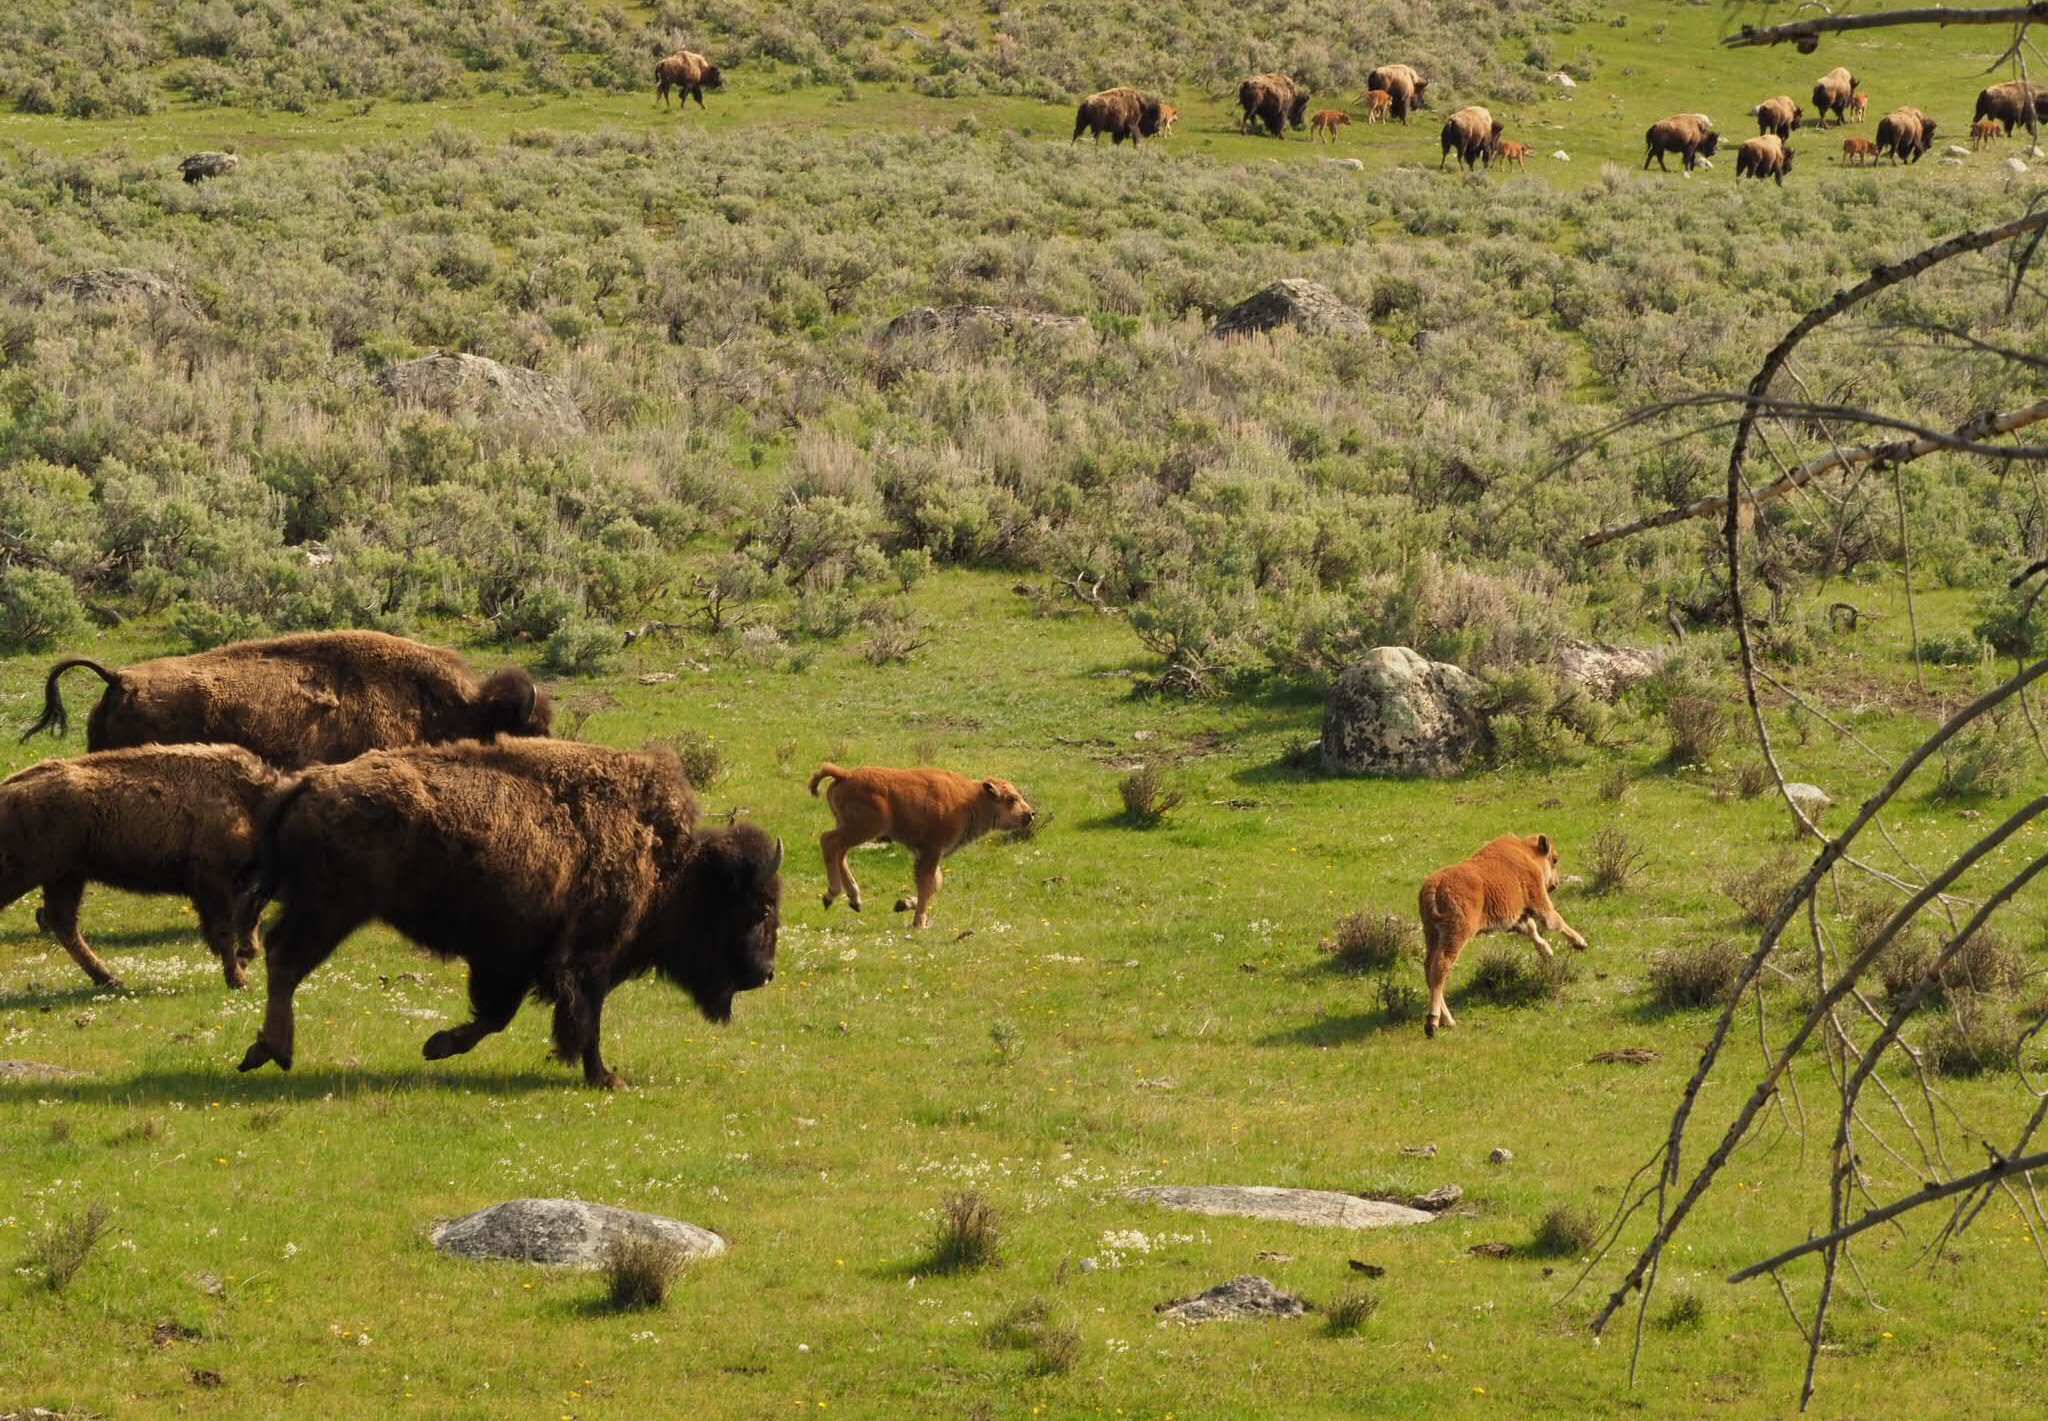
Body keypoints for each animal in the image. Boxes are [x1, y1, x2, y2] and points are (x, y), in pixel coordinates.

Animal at [0, 745, 284, 991]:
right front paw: (239, 980)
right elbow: (225, 931)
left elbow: (248, 925)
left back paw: (111, 980)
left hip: (66, 876)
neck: (249, 799)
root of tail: (7, 789)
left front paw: (243, 963)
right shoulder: (215, 883)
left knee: (63, 923)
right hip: (31, 873)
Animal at [235, 733, 782, 1089]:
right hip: (331, 911)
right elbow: (584, 1021)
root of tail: (306, 782)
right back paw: (273, 1050)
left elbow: (496, 1016)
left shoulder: (512, 959)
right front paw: (605, 1078)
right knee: (285, 960)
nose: (767, 973)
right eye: (758, 910)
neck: (668, 861)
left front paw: (438, 1044)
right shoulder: (587, 960)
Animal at [811, 769, 1040, 933]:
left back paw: (854, 900)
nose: (1030, 814)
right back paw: (832, 895)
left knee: (839, 851)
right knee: (830, 842)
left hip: (851, 828)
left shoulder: (926, 854)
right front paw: (919, 922)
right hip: (864, 829)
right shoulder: (931, 851)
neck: (971, 800)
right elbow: (928, 884)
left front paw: (903, 904)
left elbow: (935, 883)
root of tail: (845, 774)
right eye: (1011, 799)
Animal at [1417, 835, 1589, 1048]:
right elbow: (1555, 922)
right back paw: (1433, 1023)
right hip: (1456, 934)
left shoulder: (1517, 917)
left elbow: (1531, 929)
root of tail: (1436, 885)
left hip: (1432, 934)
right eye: (1555, 860)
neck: (1526, 853)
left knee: (1429, 969)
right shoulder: (1539, 901)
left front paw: (1548, 952)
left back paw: (1447, 1020)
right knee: (1441, 967)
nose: (1554, 884)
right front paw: (1580, 943)